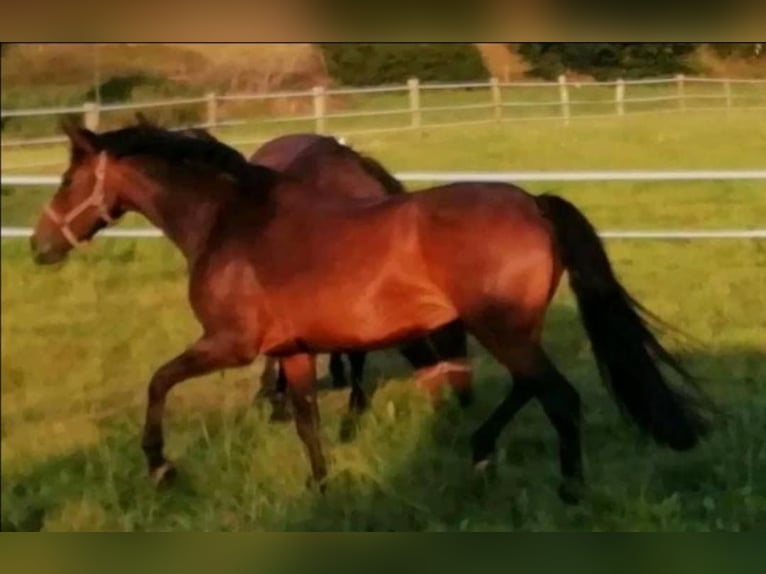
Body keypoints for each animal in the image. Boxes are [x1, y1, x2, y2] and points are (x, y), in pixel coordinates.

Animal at [30, 122, 712, 504]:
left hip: (500, 329)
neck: (230, 223)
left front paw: (160, 467)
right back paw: (481, 449)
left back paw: (567, 489)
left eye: (66, 181)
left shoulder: (230, 344)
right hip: (509, 329)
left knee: (559, 396)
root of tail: (534, 204)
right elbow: (307, 420)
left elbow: (158, 383)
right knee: (530, 387)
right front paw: (320, 487)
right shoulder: (292, 352)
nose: (40, 246)